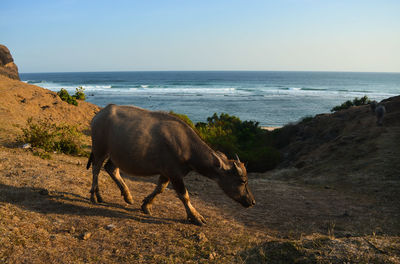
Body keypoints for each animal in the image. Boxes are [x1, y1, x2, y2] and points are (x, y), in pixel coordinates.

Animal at [87, 104, 256, 226]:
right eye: (242, 181)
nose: (252, 201)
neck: (186, 146)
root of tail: (99, 115)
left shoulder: (166, 173)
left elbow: (160, 188)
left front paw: (146, 205)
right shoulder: (175, 174)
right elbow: (184, 195)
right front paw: (196, 217)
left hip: (116, 155)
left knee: (111, 169)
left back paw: (127, 196)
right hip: (100, 149)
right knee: (96, 169)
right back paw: (95, 196)